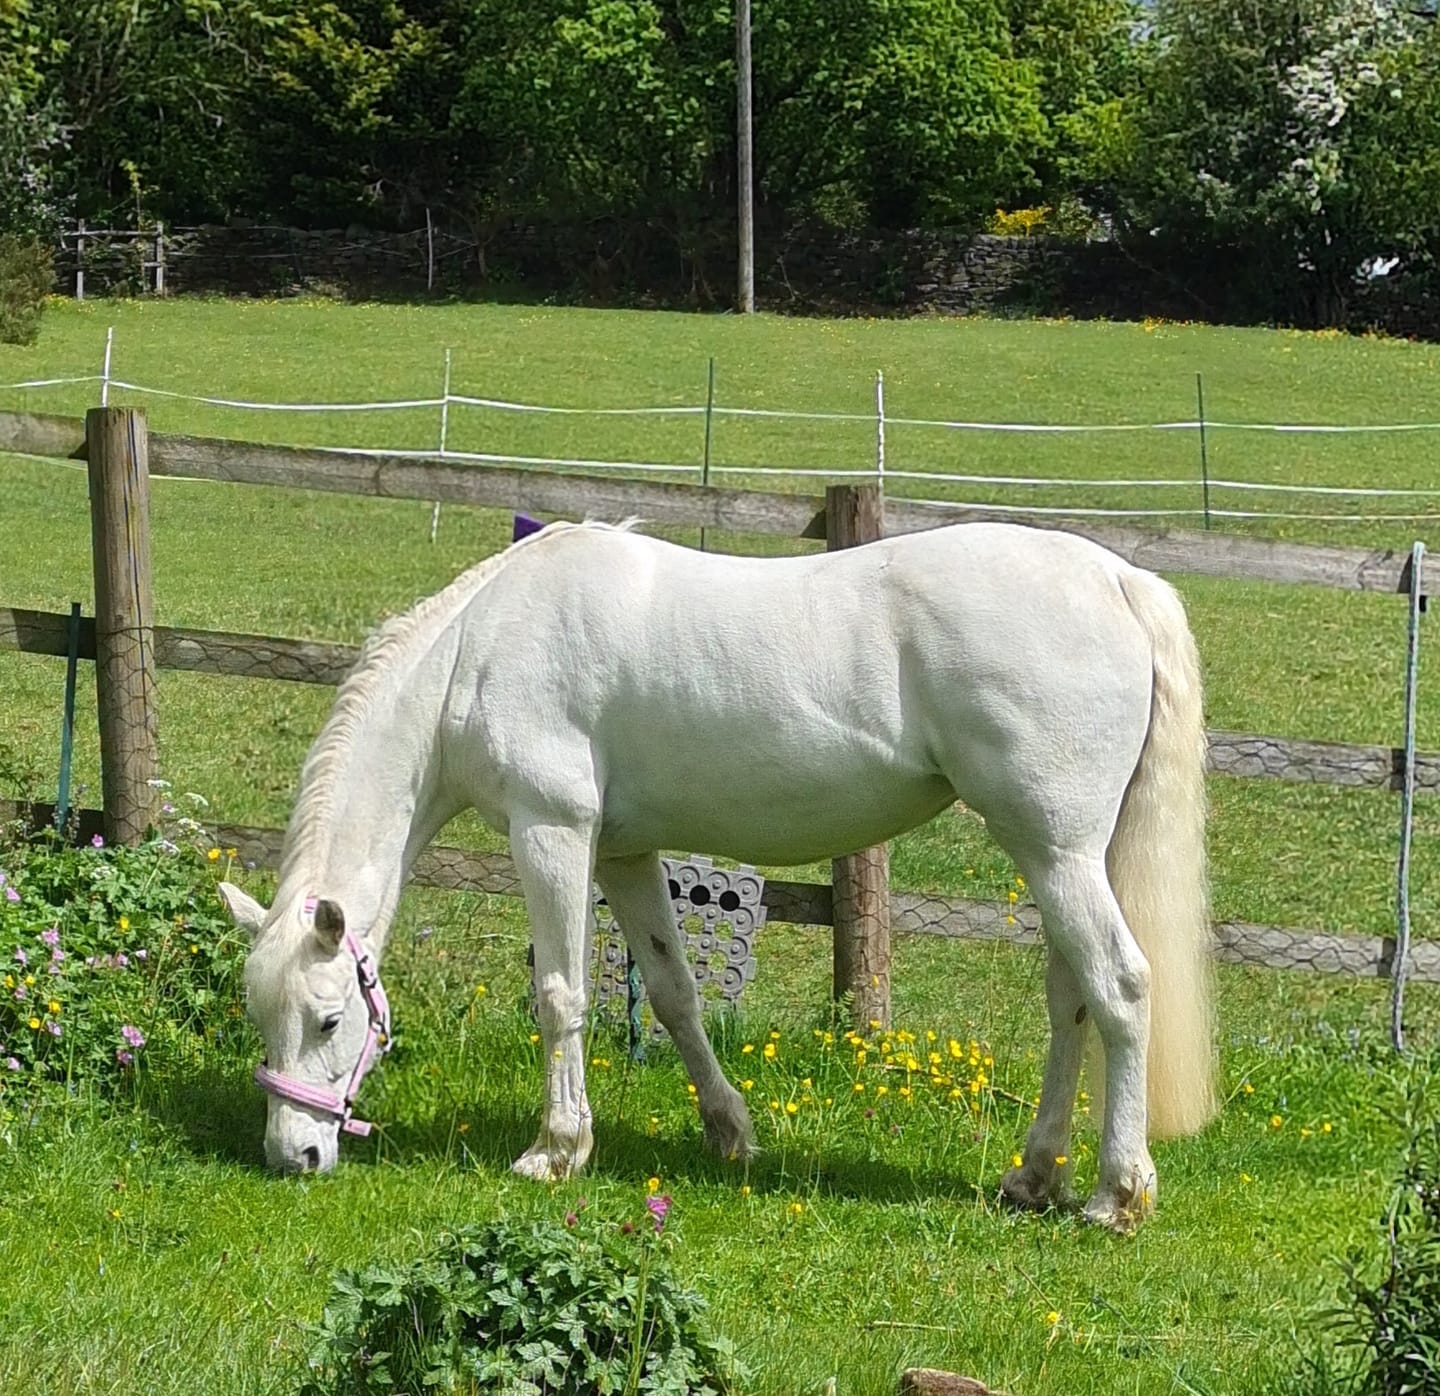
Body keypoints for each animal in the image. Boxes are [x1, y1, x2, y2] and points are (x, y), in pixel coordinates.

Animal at [218, 518, 1216, 1229]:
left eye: (330, 1019)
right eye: (261, 1017)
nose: (291, 1157)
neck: (478, 653)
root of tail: (1119, 581)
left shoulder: (553, 832)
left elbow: (560, 995)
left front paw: (557, 1150)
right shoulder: (623, 851)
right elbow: (672, 994)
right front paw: (731, 1132)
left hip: (1056, 852)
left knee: (1121, 987)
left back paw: (1116, 1195)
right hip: (1060, 858)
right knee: (1072, 999)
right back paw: (1034, 1175)